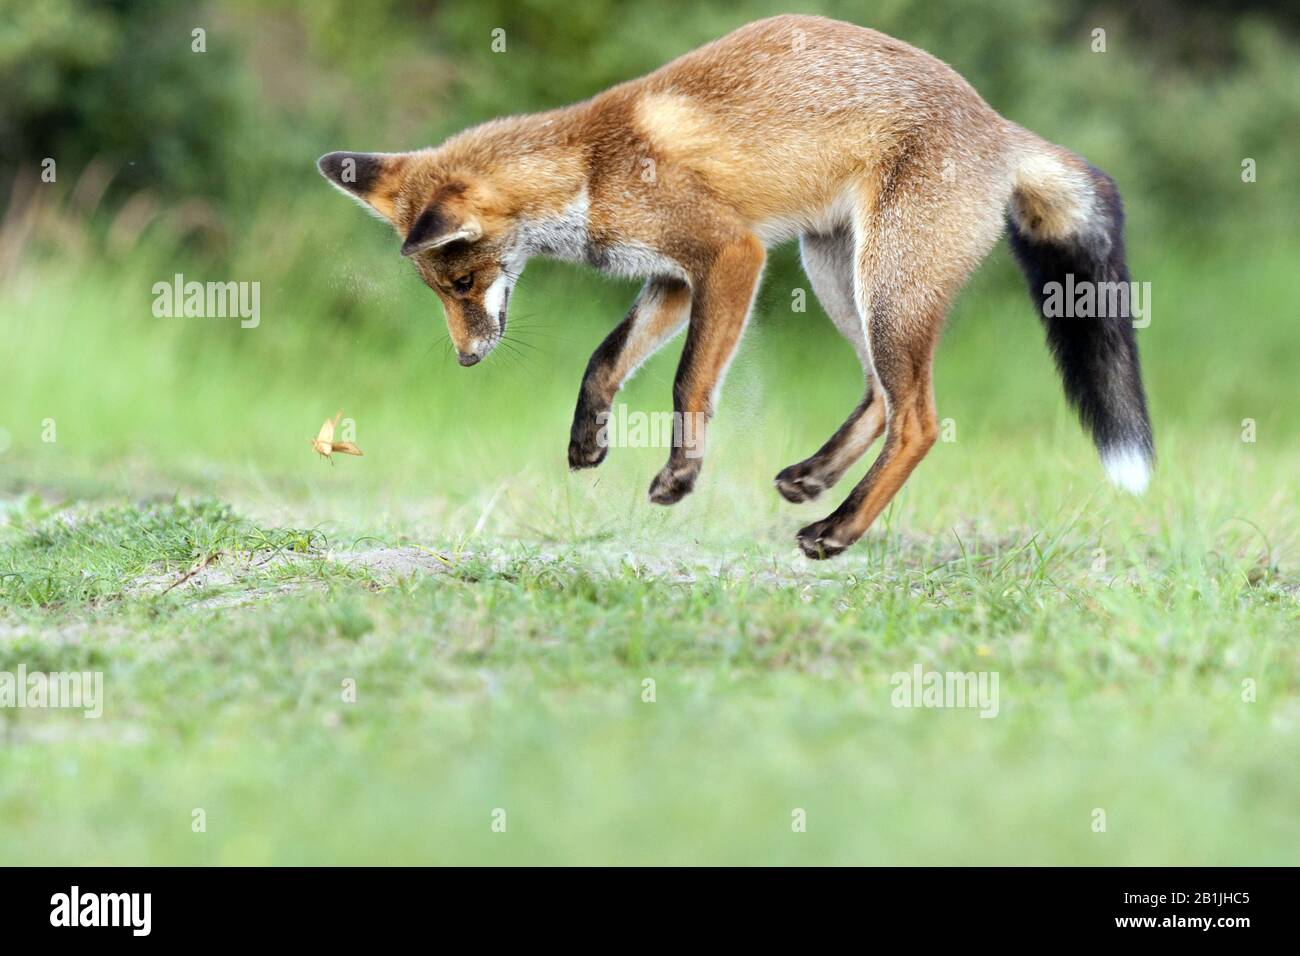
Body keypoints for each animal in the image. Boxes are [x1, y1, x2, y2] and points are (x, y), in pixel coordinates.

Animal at [318, 14, 1153, 559]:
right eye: (440, 292)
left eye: (464, 279)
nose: (467, 358)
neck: (591, 168)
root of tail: (1000, 126)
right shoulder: (671, 278)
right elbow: (604, 359)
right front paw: (589, 440)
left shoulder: (730, 254)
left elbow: (689, 381)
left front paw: (681, 474)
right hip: (837, 274)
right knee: (882, 396)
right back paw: (814, 480)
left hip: (885, 286)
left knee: (918, 419)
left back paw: (838, 531)